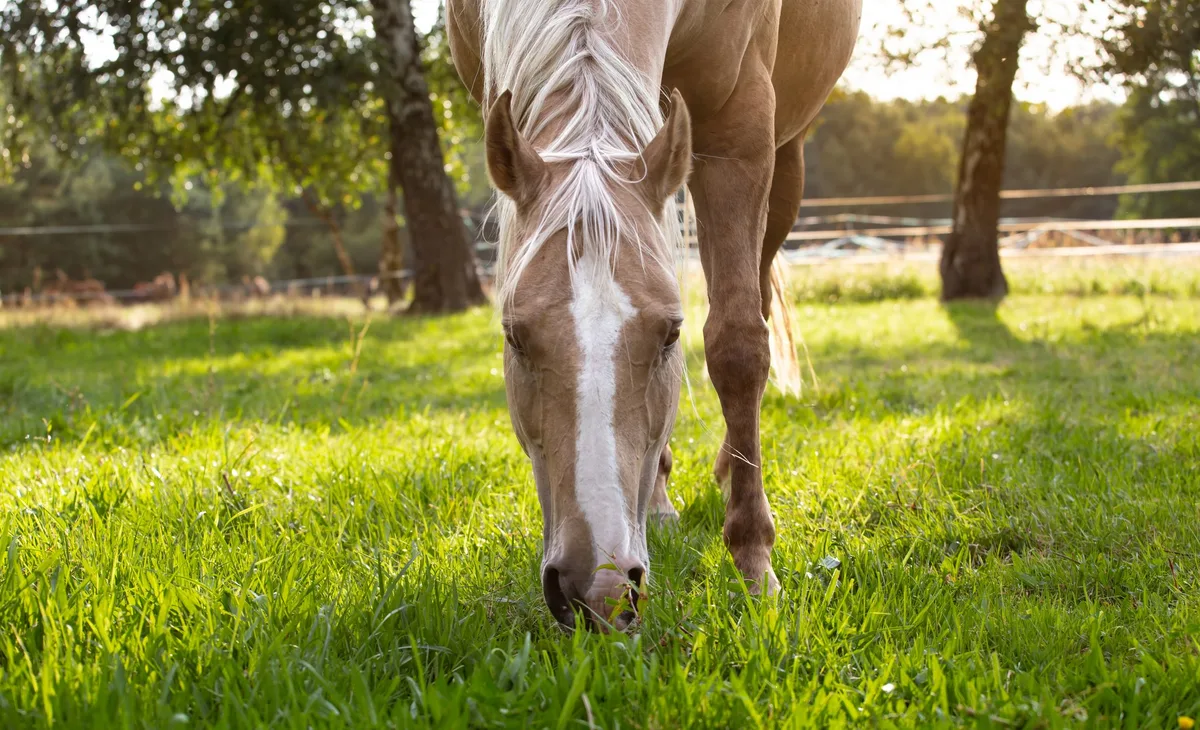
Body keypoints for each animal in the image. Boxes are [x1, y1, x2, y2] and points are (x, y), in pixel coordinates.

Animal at [446, 0, 860, 630]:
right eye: (514, 337)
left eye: (670, 334)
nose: (597, 588)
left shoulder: (740, 125)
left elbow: (738, 344)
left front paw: (755, 567)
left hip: (785, 158)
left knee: (758, 297)